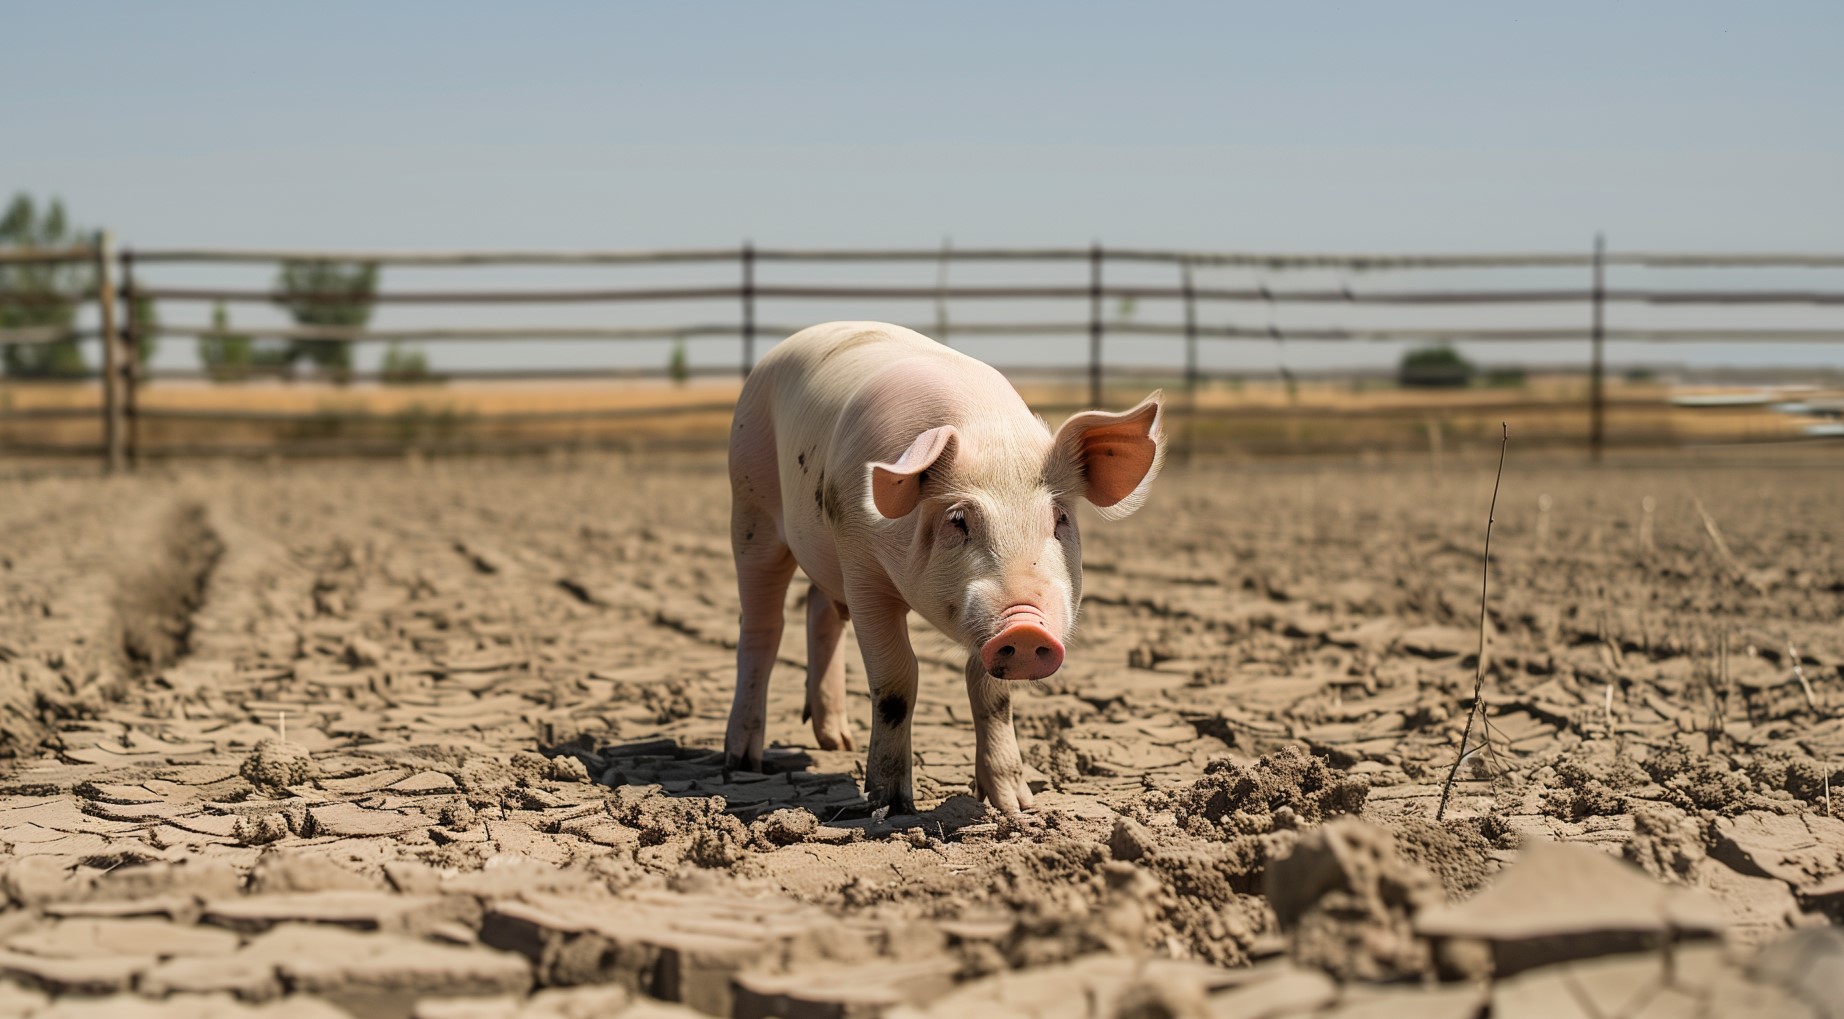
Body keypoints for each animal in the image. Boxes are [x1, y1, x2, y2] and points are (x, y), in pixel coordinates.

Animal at [724, 322, 1164, 814]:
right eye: (958, 520)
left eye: (1059, 519)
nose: (1025, 627)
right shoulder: (860, 563)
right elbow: (896, 679)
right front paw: (891, 806)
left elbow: (991, 692)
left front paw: (1016, 805)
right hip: (750, 502)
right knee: (762, 625)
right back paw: (742, 764)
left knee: (820, 607)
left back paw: (837, 743)